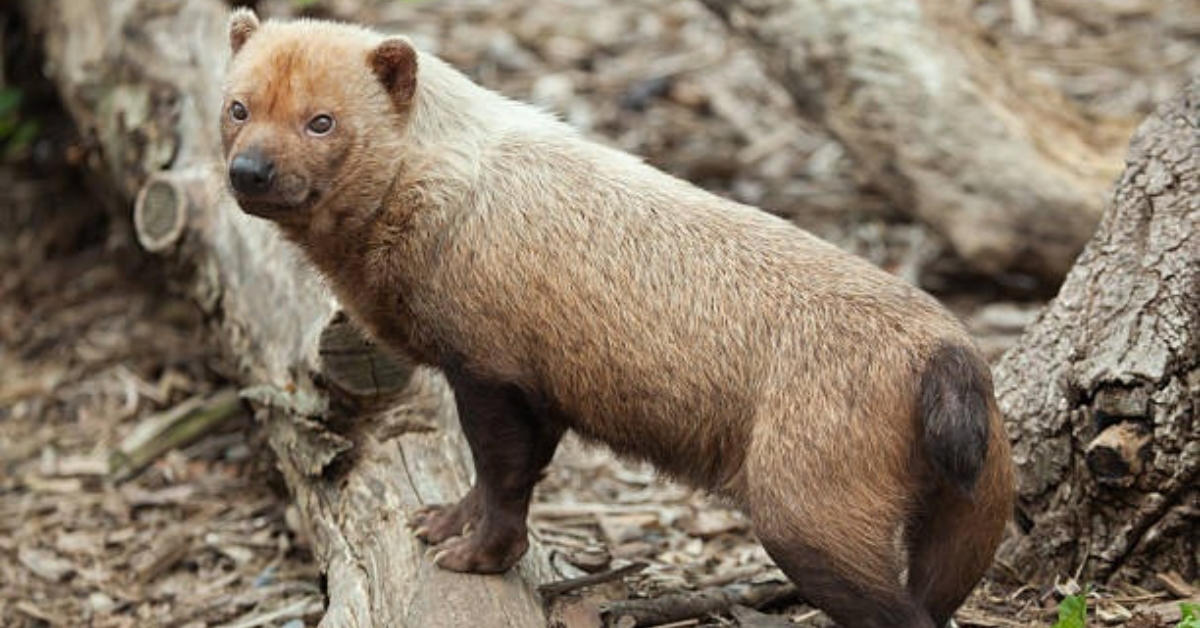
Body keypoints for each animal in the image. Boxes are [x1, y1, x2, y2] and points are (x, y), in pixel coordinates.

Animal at [223, 11, 1012, 628]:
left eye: (322, 121)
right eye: (237, 106)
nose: (249, 171)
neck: (448, 192)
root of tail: (947, 358)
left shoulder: (489, 368)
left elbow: (504, 474)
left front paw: (475, 556)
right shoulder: (535, 387)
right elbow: (506, 473)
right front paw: (442, 520)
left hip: (805, 517)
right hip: (968, 521)